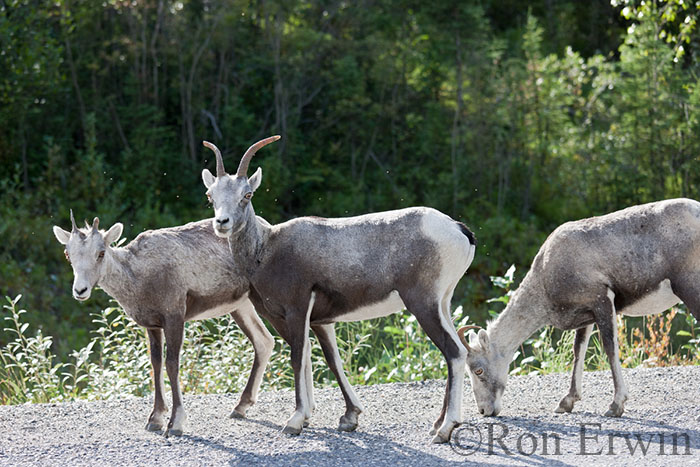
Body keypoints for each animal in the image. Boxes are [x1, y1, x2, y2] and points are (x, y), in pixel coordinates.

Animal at [52, 214, 274, 436]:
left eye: (101, 253)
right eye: (68, 254)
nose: (80, 290)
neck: (140, 278)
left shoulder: (174, 319)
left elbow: (171, 365)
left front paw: (175, 424)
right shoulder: (153, 325)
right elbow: (156, 364)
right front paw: (155, 420)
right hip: (242, 306)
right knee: (264, 341)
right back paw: (240, 407)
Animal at [200, 137, 478, 444]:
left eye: (247, 194)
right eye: (211, 196)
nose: (221, 223)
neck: (267, 250)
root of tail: (458, 229)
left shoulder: (296, 311)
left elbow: (298, 357)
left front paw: (295, 421)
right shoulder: (320, 321)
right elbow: (329, 360)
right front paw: (346, 418)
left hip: (423, 305)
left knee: (454, 352)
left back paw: (444, 430)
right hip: (443, 304)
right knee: (456, 349)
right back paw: (437, 424)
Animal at [460, 199, 700, 418]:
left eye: (478, 370)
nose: (485, 411)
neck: (545, 279)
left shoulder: (602, 301)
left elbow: (610, 349)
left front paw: (615, 406)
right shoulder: (586, 316)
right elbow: (578, 352)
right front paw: (566, 403)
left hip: (689, 288)